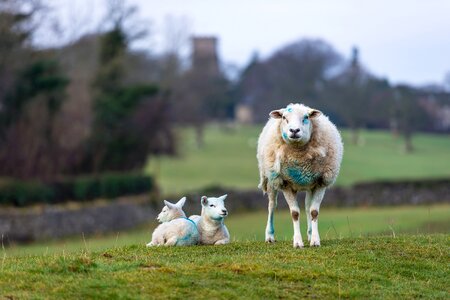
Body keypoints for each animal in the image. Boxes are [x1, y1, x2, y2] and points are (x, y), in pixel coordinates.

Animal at [256, 103, 344, 248]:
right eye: (284, 117)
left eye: (306, 117)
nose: (294, 130)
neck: (298, 155)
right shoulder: (285, 183)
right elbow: (295, 213)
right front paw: (297, 242)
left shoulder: (321, 182)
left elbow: (314, 211)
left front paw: (315, 240)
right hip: (271, 178)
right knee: (271, 205)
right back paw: (269, 236)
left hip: (309, 183)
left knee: (308, 206)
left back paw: (309, 234)